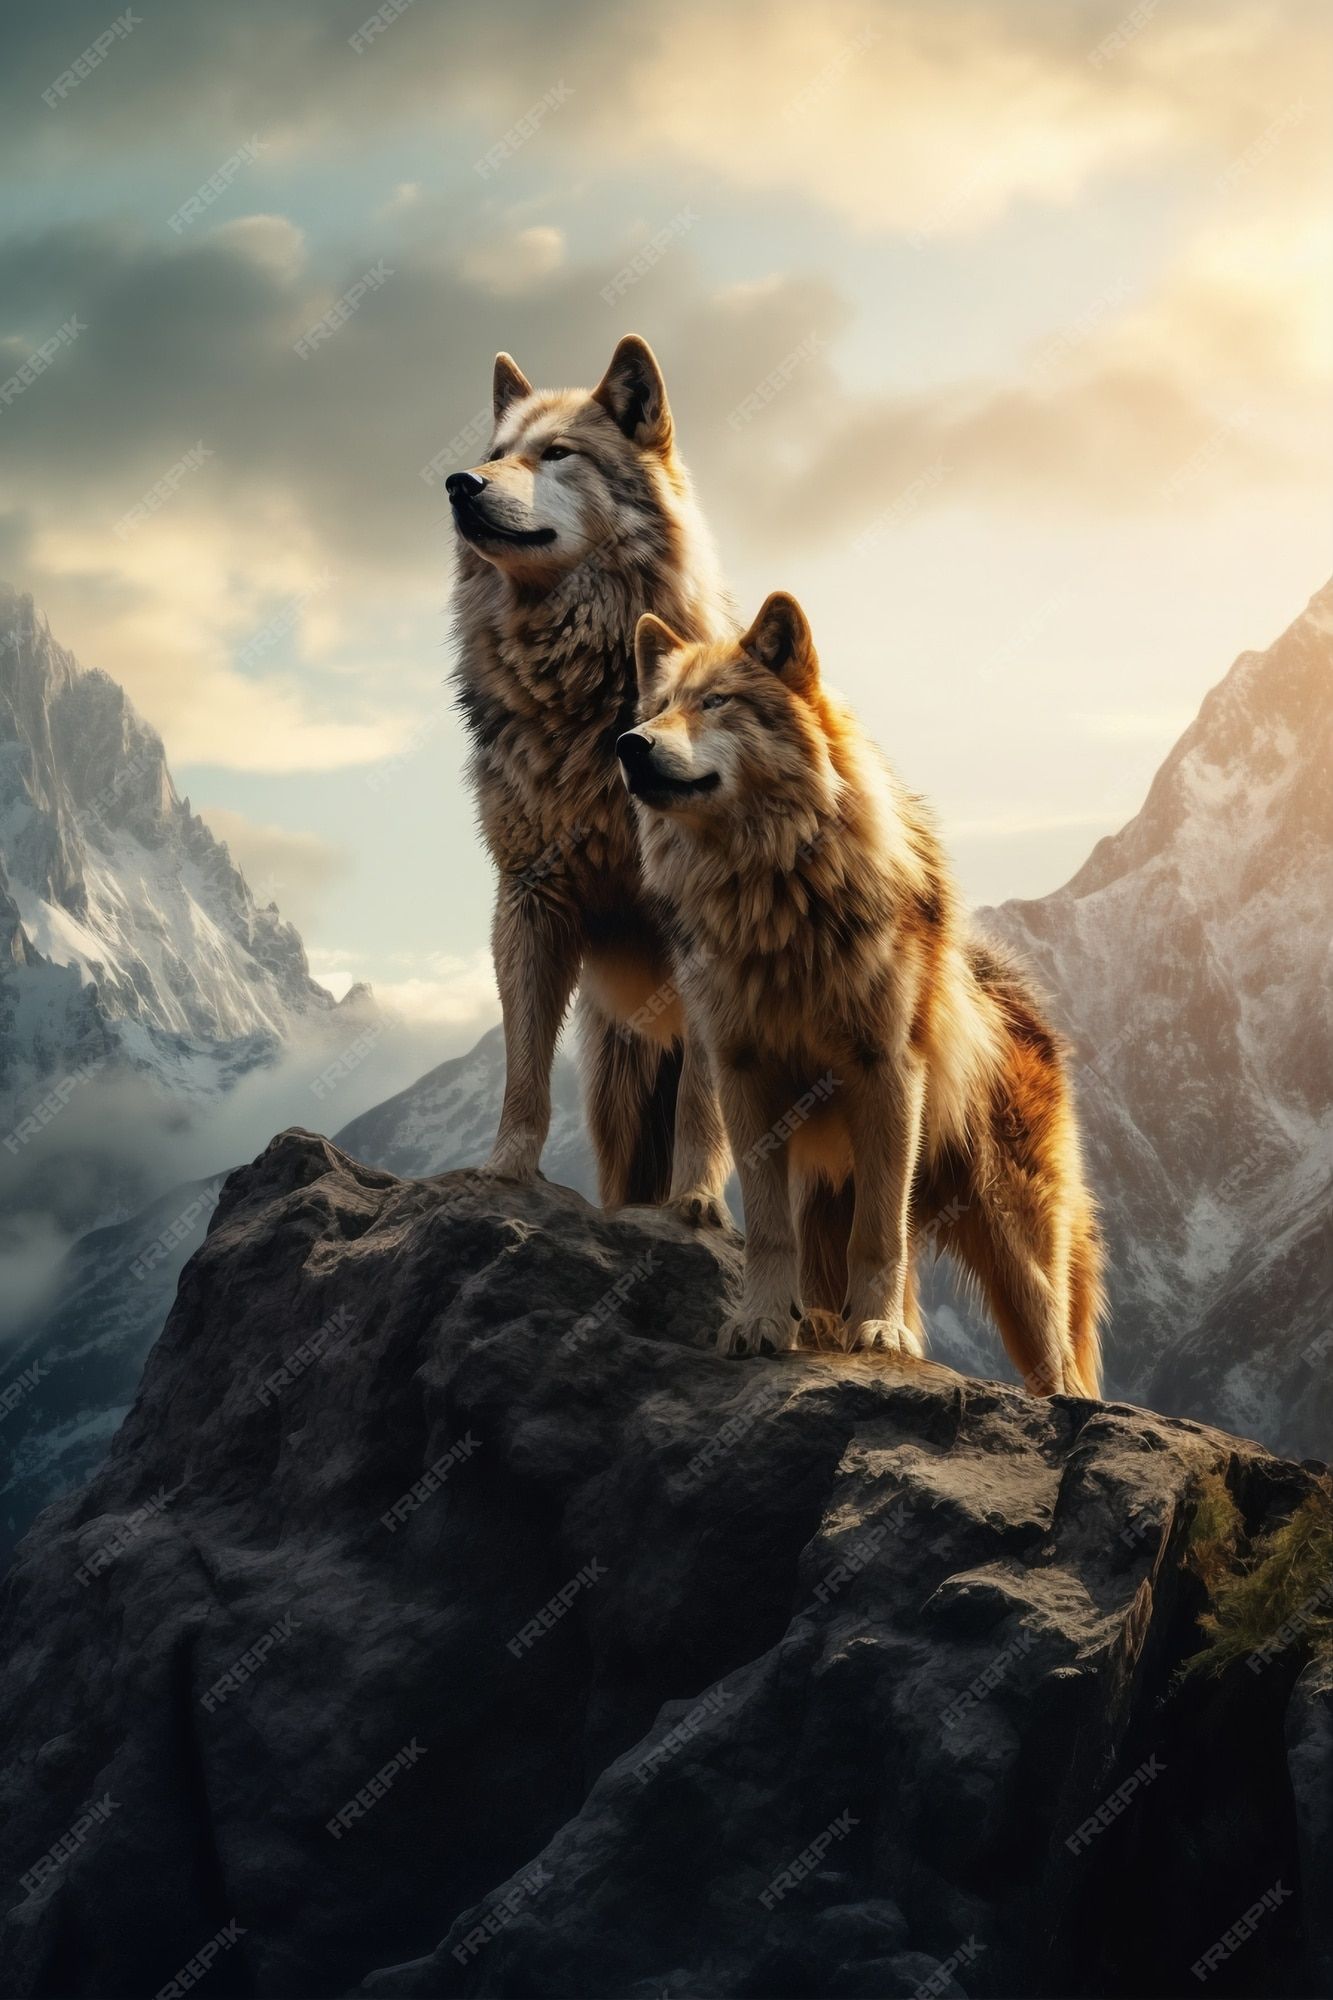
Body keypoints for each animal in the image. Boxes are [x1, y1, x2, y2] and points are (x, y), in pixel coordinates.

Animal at [448, 335, 733, 1215]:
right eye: (494, 453)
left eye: (558, 454)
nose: (458, 484)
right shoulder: (528, 898)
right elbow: (522, 1075)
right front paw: (503, 1173)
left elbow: (704, 1097)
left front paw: (696, 1204)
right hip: (616, 1088)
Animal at [620, 591, 1104, 1396]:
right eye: (658, 707)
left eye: (716, 703)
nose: (628, 744)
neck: (775, 896)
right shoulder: (742, 1074)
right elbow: (767, 1230)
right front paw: (760, 1323)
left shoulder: (888, 1073)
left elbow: (878, 1238)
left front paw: (878, 1336)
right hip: (834, 1201)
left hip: (1015, 1248)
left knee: (1057, 1364)